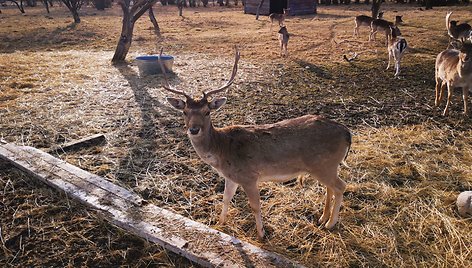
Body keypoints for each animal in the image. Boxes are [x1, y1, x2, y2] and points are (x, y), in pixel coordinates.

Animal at [157, 49, 352, 240]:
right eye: (185, 111)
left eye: (207, 112)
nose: (194, 129)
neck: (222, 151)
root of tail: (347, 133)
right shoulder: (231, 177)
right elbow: (226, 198)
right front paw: (220, 224)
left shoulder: (249, 176)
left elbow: (255, 206)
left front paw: (261, 234)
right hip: (325, 166)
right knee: (330, 187)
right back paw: (322, 218)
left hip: (324, 165)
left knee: (341, 186)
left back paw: (330, 223)